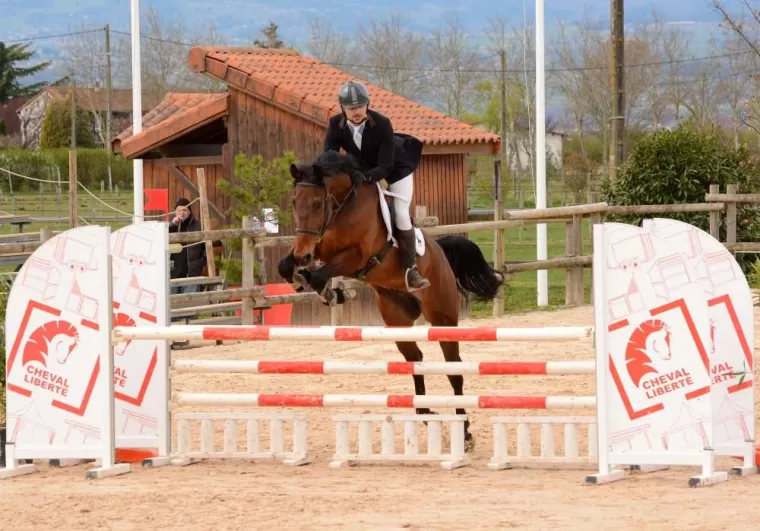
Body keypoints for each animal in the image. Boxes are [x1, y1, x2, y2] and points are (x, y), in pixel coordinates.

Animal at [277, 150, 505, 451]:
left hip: (443, 317)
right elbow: (286, 266)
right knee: (415, 359)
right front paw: (309, 282)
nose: (303, 255)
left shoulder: (357, 257)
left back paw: (465, 432)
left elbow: (320, 274)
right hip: (397, 318)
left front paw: (329, 290)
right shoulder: (319, 247)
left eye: (317, 203)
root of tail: (441, 254)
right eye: (294, 202)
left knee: (453, 369)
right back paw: (425, 412)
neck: (341, 210)